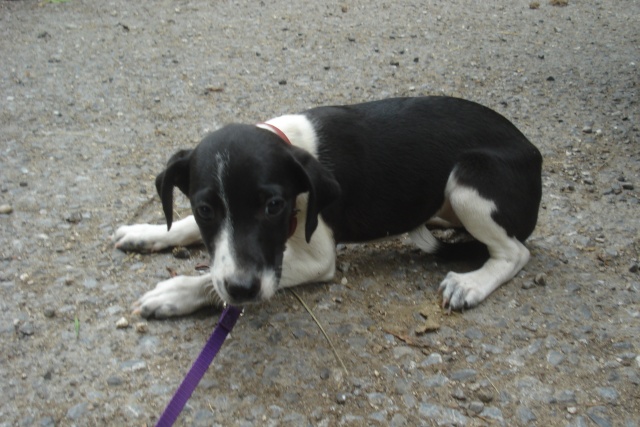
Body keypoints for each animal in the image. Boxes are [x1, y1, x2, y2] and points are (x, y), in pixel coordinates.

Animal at [114, 97, 540, 318]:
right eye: (206, 209)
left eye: (274, 205)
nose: (243, 289)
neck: (287, 141)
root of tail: (534, 153)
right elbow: (188, 231)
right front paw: (147, 232)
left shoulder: (314, 259)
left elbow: (211, 279)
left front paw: (176, 292)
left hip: (469, 179)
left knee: (515, 252)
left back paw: (471, 283)